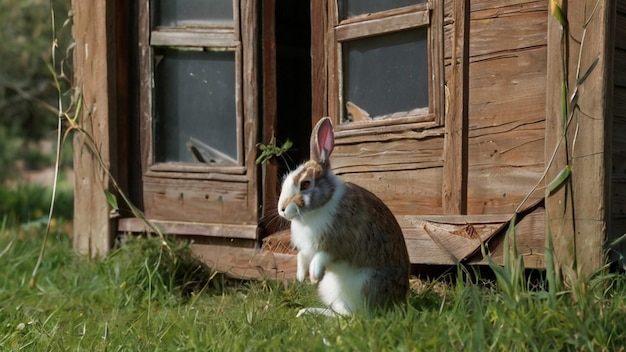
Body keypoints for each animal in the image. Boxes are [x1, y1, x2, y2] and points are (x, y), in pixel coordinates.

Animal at [276, 117, 408, 318]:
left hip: (363, 284)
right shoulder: (307, 249)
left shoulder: (339, 245)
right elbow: (302, 256)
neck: (323, 204)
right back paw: (307, 312)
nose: (282, 209)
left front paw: (314, 275)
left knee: (351, 316)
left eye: (306, 184)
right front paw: (300, 276)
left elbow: (323, 256)